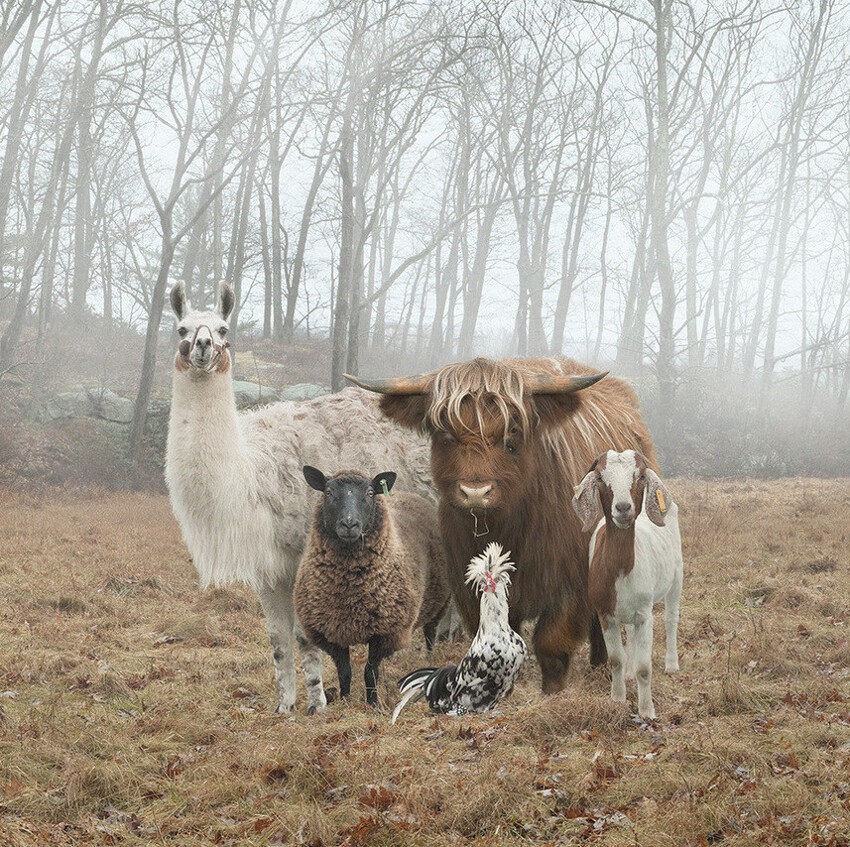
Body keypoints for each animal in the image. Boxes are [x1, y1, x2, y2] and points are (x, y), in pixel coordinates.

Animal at [568, 450, 684, 724]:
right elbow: (615, 660)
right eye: (600, 478)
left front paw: (647, 711)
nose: (623, 508)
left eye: (640, 476)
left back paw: (672, 664)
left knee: (671, 619)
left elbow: (644, 667)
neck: (621, 568)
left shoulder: (645, 614)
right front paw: (618, 699)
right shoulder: (605, 613)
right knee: (629, 632)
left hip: (677, 576)